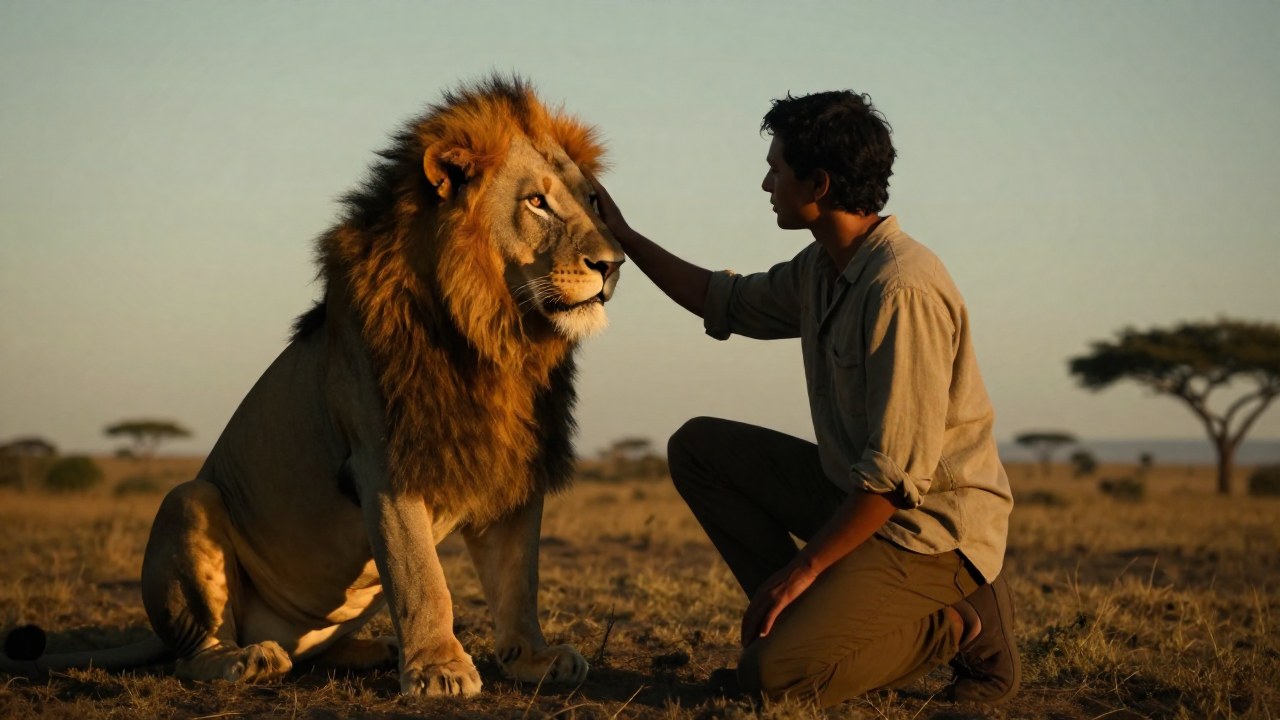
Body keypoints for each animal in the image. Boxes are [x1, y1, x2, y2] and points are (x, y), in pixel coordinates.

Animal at [0, 75, 622, 698]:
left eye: (593, 201)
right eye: (536, 202)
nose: (613, 264)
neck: (495, 336)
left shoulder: (510, 460)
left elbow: (518, 579)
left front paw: (532, 659)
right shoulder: (383, 461)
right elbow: (422, 578)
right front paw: (439, 669)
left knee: (313, 651)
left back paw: (371, 648)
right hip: (188, 499)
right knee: (194, 652)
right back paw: (246, 659)